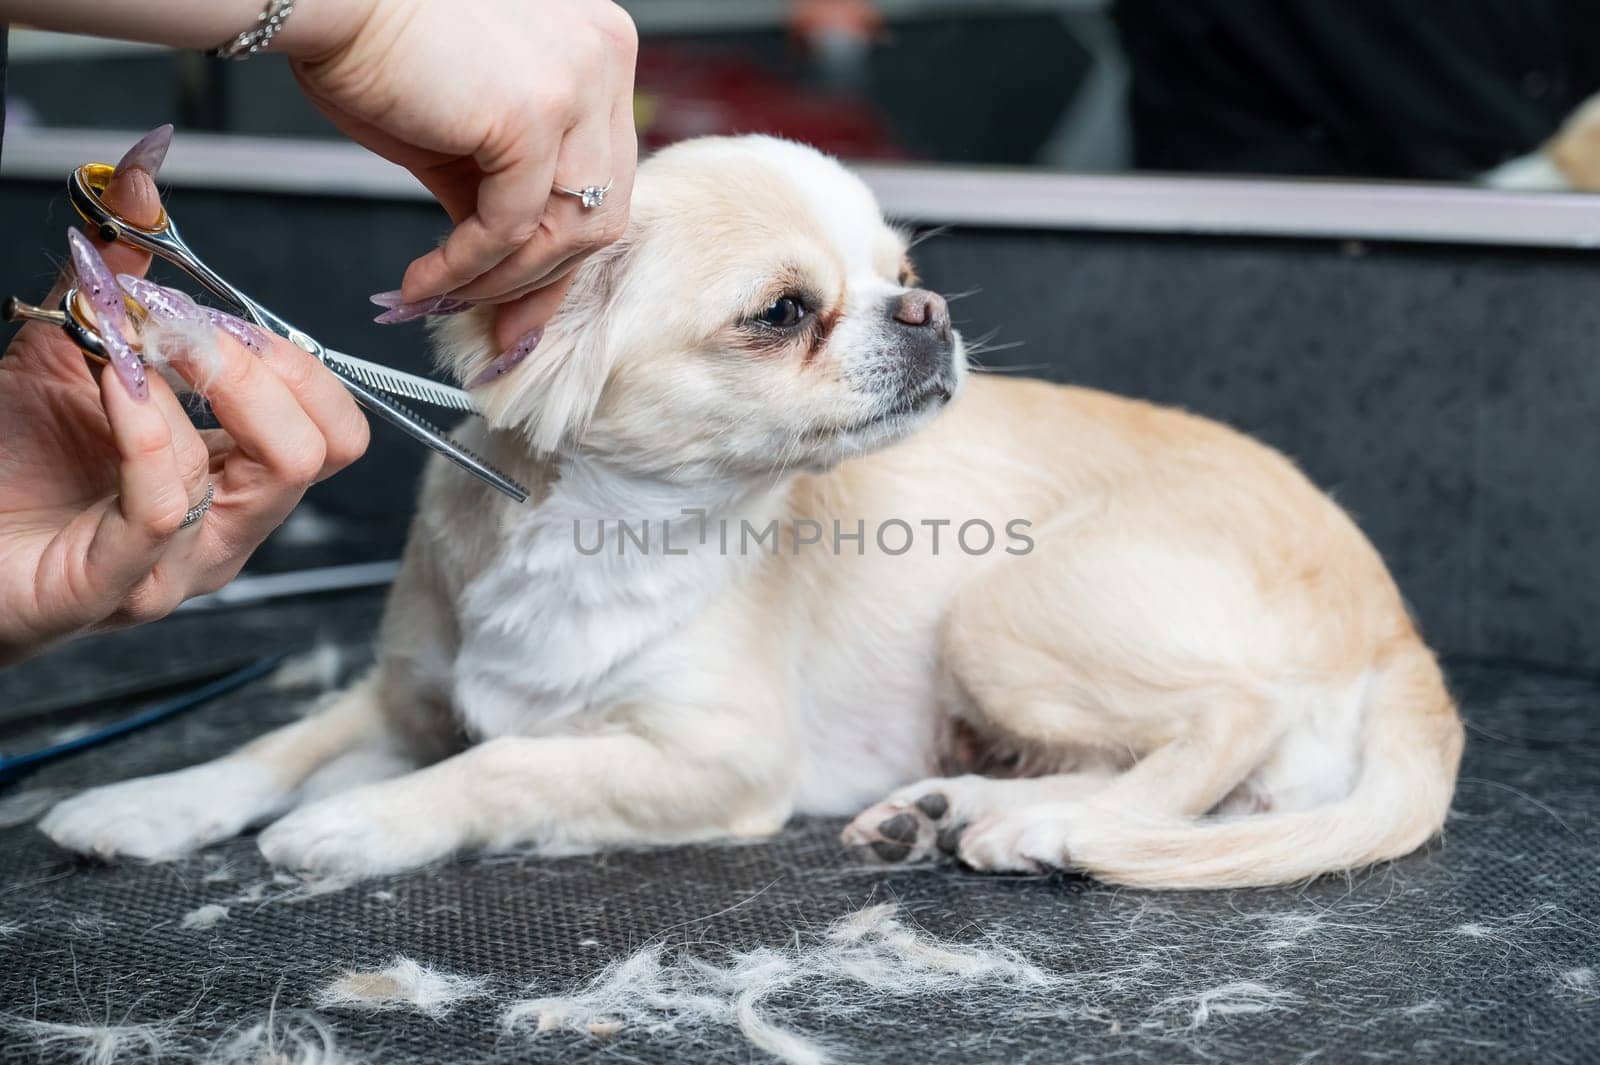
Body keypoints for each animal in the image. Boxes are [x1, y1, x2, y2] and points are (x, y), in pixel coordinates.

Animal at [40, 136, 1465, 882]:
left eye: (900, 274)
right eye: (783, 312)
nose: (928, 310)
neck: (604, 531)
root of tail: (1405, 631)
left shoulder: (713, 758)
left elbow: (507, 761)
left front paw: (360, 824)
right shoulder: (409, 696)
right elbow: (277, 743)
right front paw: (145, 805)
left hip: (999, 609)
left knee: (1231, 718)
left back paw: (1046, 827)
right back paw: (949, 809)